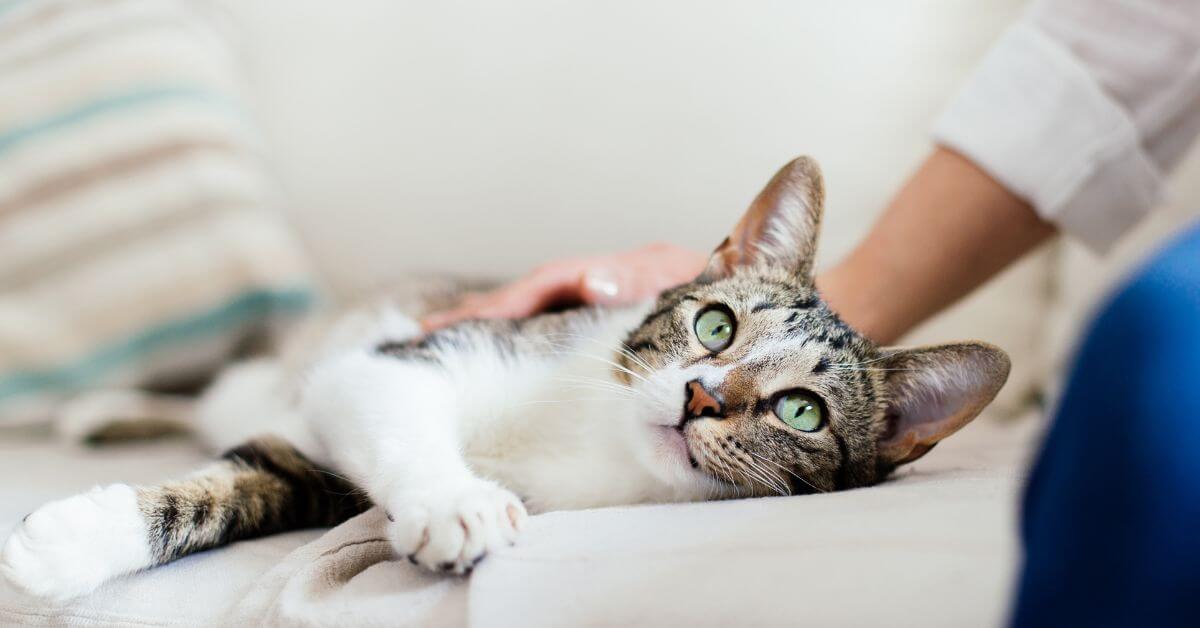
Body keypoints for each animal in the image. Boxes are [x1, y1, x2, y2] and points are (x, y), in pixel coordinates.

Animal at [2, 156, 1012, 600]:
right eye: (715, 325)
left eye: (801, 410)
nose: (701, 397)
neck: (593, 441)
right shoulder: (400, 360)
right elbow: (381, 410)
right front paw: (457, 501)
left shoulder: (320, 472)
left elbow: (251, 487)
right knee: (219, 392)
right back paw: (104, 406)